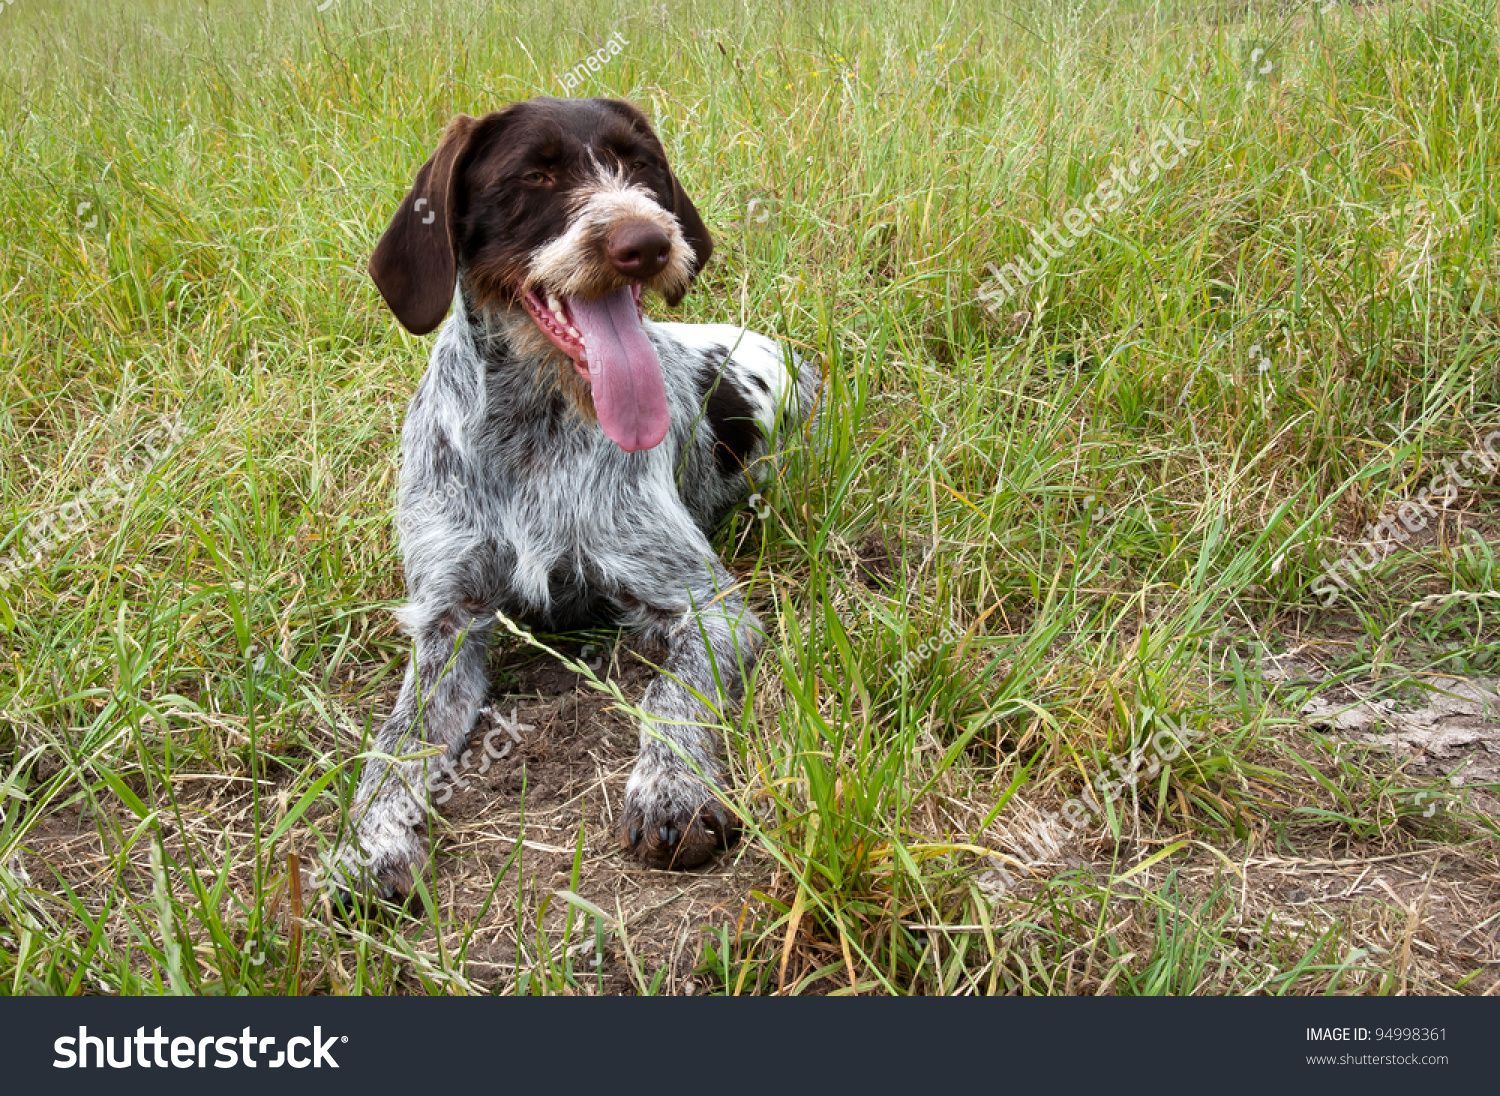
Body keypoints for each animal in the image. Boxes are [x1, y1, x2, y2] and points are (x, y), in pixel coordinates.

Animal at [327, 96, 822, 899]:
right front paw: (369, 843)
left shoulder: (708, 607)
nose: (648, 242)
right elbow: (394, 744)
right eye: (535, 174)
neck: (528, 426)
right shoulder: (446, 622)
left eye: (640, 164)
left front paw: (671, 791)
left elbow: (670, 696)